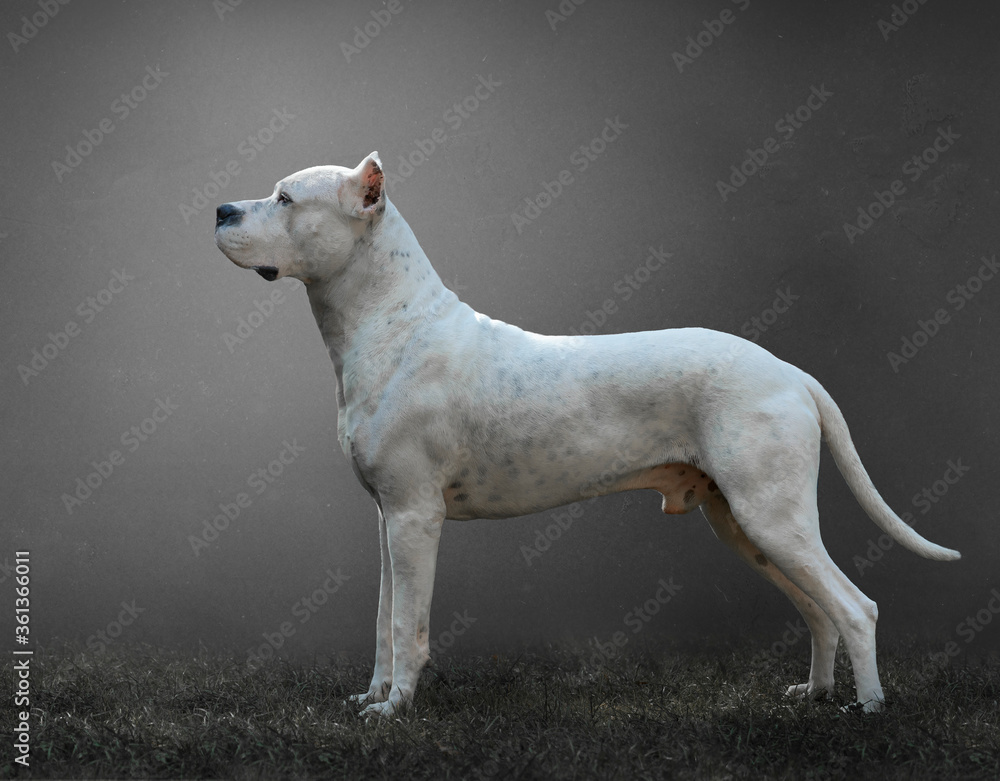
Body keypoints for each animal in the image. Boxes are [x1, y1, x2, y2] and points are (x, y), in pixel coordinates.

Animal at [217, 151, 960, 712]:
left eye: (285, 198)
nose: (221, 209)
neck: (389, 320)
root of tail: (791, 370)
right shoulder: (388, 520)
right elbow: (382, 622)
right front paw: (373, 698)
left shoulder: (413, 517)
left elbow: (408, 624)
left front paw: (396, 710)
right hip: (746, 524)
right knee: (818, 610)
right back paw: (816, 694)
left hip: (772, 516)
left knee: (854, 606)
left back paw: (868, 709)